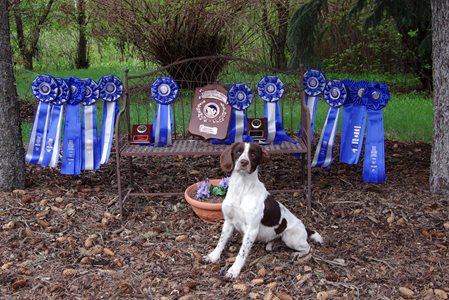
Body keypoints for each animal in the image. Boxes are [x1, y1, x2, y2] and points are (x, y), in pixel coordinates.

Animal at [203, 143, 322, 278]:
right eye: (238, 152)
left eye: (253, 154)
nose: (244, 162)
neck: (242, 188)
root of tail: (305, 228)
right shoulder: (228, 222)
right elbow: (221, 241)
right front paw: (214, 256)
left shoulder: (251, 229)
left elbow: (242, 252)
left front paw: (234, 270)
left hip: (291, 237)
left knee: (307, 247)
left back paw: (297, 254)